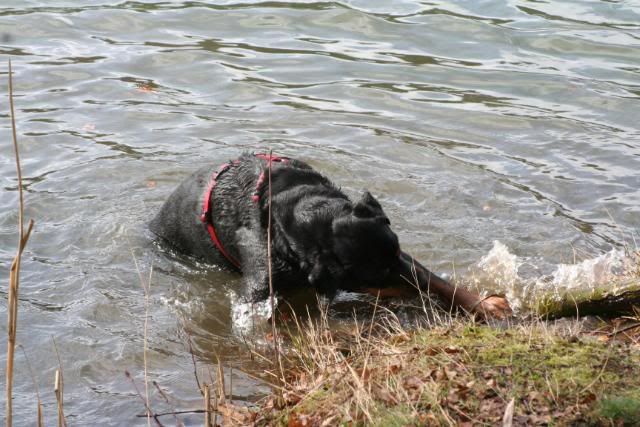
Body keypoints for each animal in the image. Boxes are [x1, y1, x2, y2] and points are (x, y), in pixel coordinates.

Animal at [150, 153, 510, 318]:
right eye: (374, 278)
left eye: (395, 255)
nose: (414, 290)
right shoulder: (259, 279)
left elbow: (436, 278)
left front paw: (482, 303)